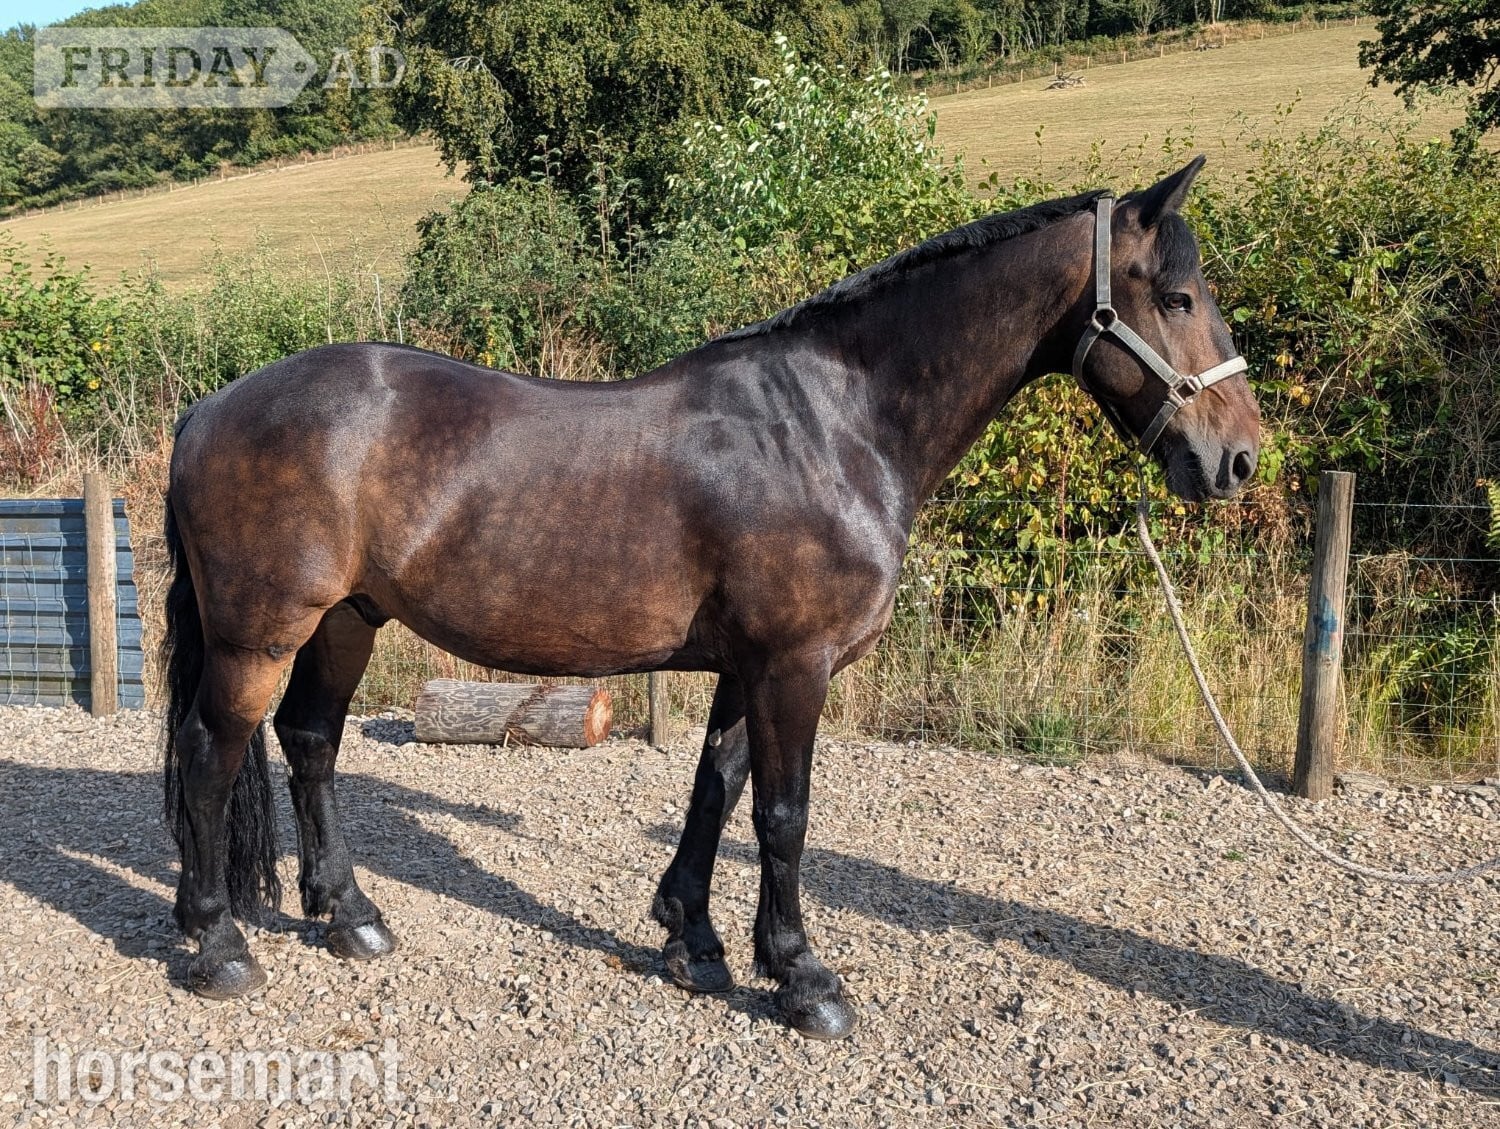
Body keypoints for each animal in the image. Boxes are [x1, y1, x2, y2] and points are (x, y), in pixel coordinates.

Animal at [160, 157, 1259, 1040]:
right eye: (1176, 295)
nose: (1239, 459)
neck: (833, 425)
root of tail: (209, 407)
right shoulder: (794, 665)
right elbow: (783, 813)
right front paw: (805, 978)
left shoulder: (749, 664)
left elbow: (715, 792)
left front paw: (696, 942)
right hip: (260, 634)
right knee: (214, 754)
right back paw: (219, 947)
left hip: (346, 619)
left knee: (309, 742)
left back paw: (350, 917)